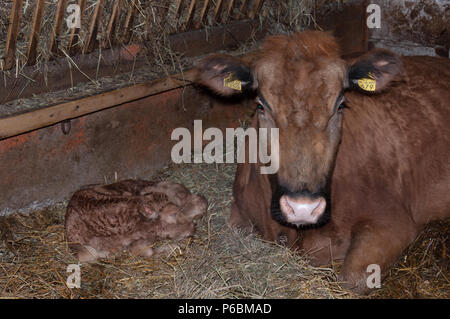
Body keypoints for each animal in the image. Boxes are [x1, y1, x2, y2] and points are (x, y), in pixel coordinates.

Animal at [194, 31, 450, 296]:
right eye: (261, 106)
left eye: (340, 105)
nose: (302, 208)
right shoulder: (240, 212)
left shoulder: (393, 222)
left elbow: (351, 280)